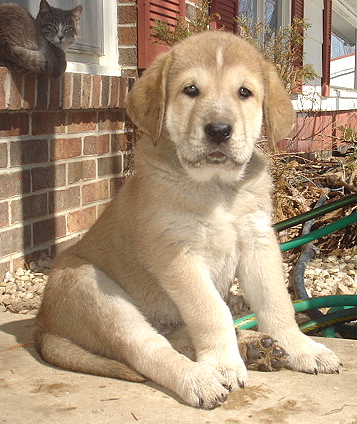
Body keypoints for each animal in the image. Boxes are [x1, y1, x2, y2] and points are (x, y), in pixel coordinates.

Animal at [35, 31, 340, 410]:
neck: (216, 188)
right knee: (149, 349)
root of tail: (42, 323)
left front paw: (301, 347)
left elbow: (276, 302)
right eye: (190, 90)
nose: (219, 130)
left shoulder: (259, 241)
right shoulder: (176, 254)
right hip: (95, 291)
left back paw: (254, 347)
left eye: (244, 92)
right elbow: (211, 312)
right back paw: (200, 378)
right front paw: (222, 364)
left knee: (175, 337)